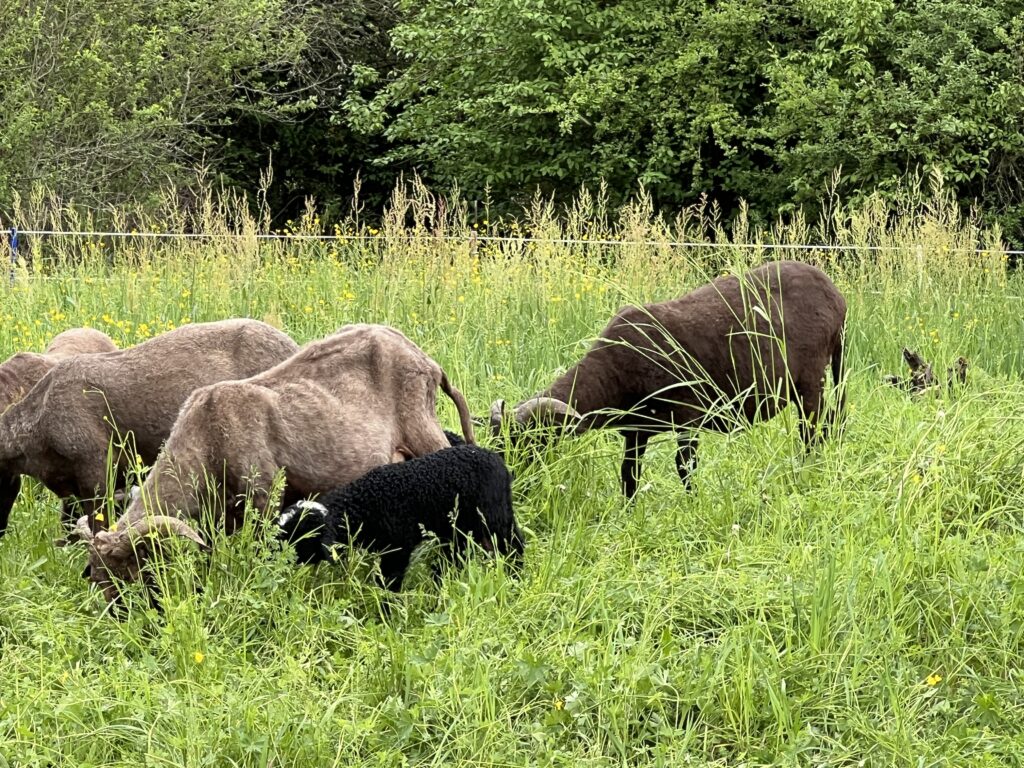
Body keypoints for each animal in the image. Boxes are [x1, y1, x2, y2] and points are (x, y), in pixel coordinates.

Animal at [74, 323, 475, 606]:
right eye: (96, 576)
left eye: (127, 572)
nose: (119, 614)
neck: (206, 436)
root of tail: (426, 361)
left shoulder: (265, 495)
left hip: (424, 433)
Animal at [276, 442, 524, 593]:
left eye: (300, 538)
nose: (277, 559)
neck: (361, 506)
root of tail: (497, 460)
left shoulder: (397, 548)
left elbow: (388, 583)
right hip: (458, 526)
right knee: (456, 554)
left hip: (494, 514)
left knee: (514, 545)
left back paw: (516, 577)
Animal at [487, 260, 847, 499]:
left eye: (526, 444)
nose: (510, 488)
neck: (614, 371)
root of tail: (836, 296)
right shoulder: (635, 430)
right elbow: (629, 475)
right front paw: (629, 513)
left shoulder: (688, 416)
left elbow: (685, 467)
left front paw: (692, 503)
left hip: (811, 379)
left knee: (812, 430)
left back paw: (806, 471)